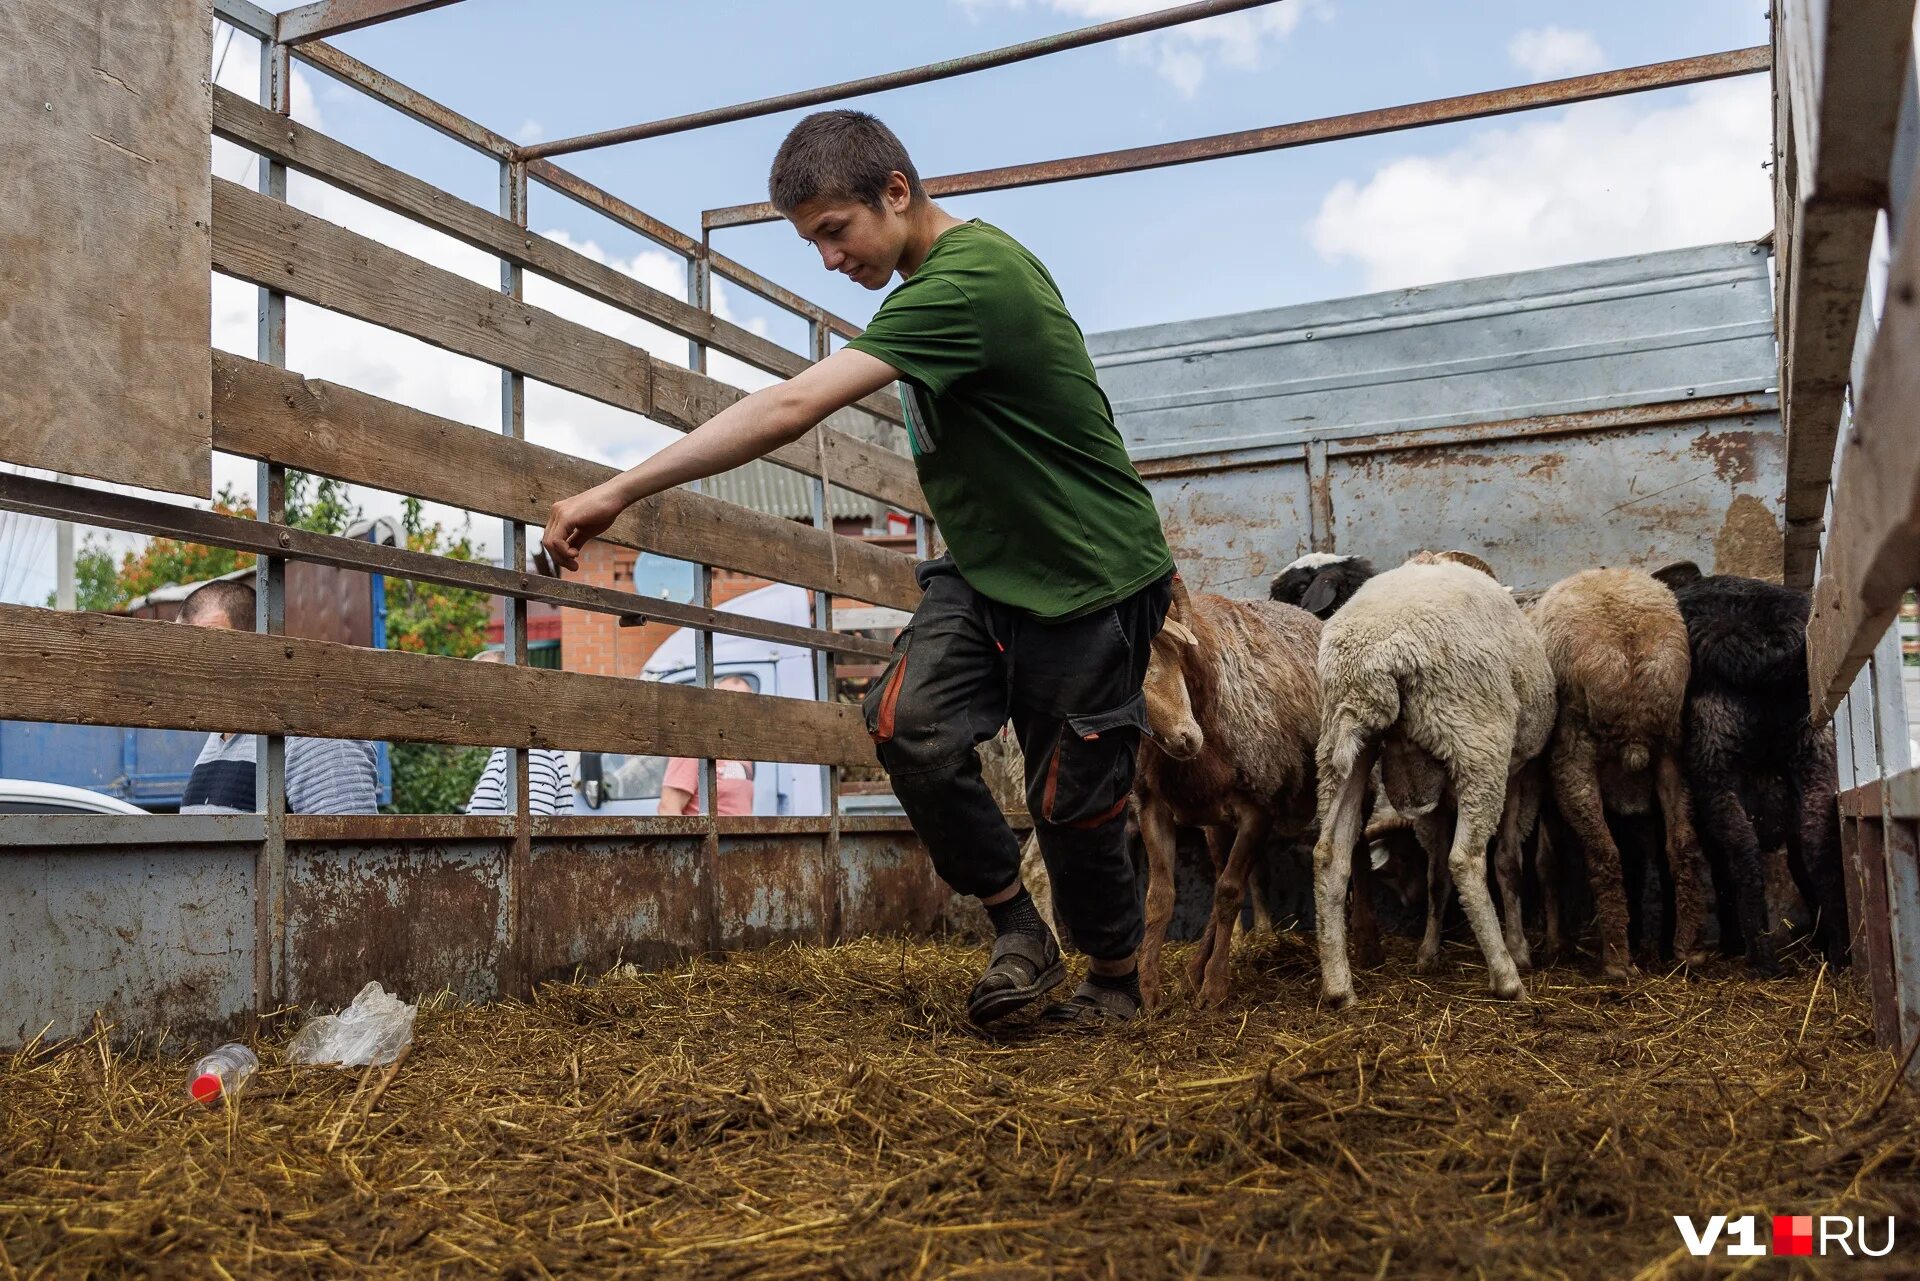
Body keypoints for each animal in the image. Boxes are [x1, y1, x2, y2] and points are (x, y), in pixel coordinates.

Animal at [1528, 564, 1697, 975]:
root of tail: (1626, 639)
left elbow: (1548, 862)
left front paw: (1557, 944)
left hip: (1573, 752)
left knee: (1604, 854)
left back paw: (1617, 959)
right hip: (1672, 746)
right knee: (1681, 845)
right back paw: (1686, 949)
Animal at [1658, 564, 1850, 975]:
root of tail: (1764, 646)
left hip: (1715, 761)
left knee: (1742, 853)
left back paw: (1760, 960)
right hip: (1812, 746)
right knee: (1815, 840)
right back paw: (1839, 952)